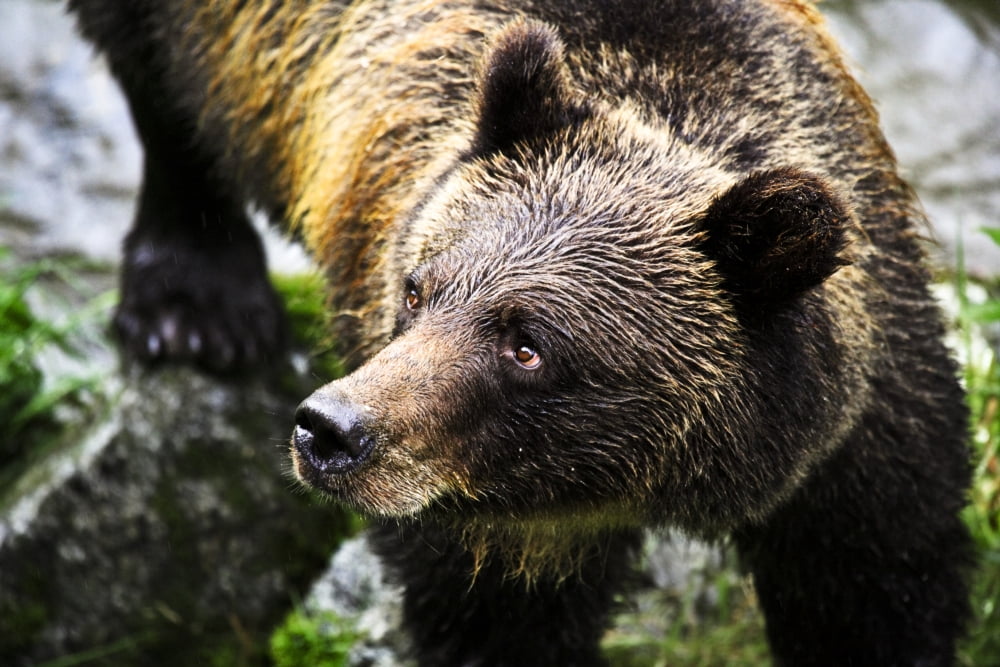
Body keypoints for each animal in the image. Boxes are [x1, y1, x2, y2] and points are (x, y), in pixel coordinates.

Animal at [68, 0, 974, 665]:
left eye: (529, 344)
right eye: (418, 288)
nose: (331, 429)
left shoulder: (856, 447)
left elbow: (879, 592)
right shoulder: (487, 528)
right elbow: (492, 620)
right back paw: (194, 306)